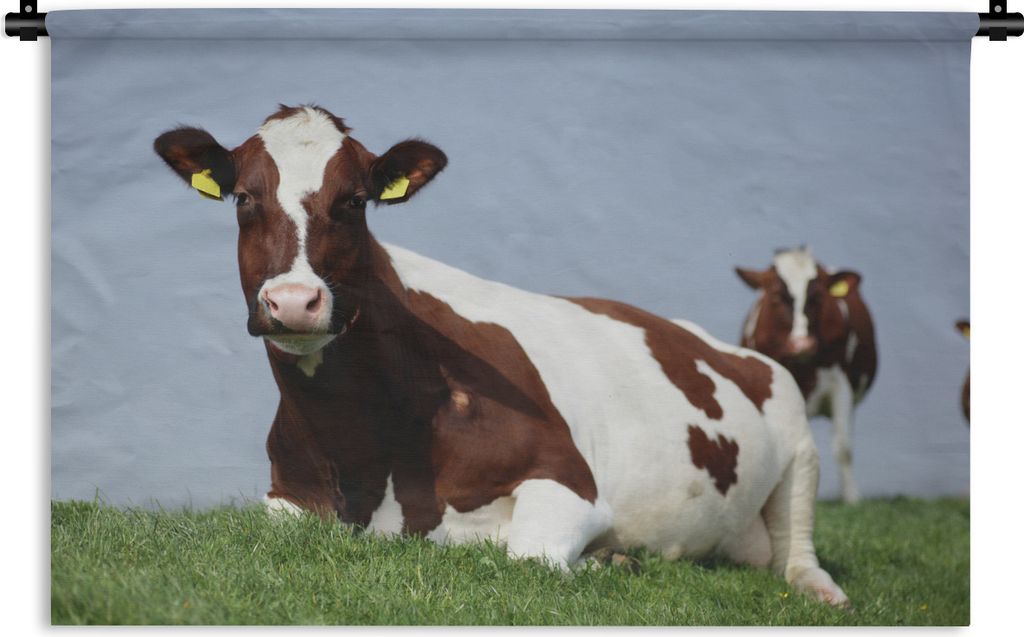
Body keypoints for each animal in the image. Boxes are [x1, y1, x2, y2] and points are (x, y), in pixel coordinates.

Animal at [154, 105, 847, 606]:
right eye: (244, 198)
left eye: (354, 200)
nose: (295, 302)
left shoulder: (568, 480)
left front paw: (608, 561)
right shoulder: (286, 500)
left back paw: (824, 592)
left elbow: (529, 558)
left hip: (799, 443)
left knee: (798, 547)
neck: (361, 447)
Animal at [735, 247, 877, 504]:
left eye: (818, 297)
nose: (802, 344)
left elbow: (843, 446)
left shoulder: (841, 384)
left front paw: (851, 498)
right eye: (775, 296)